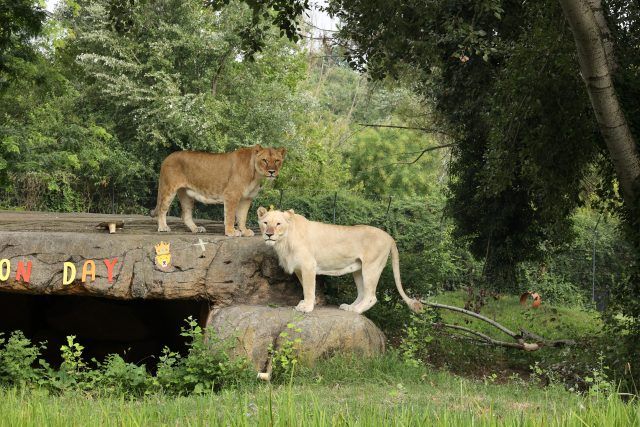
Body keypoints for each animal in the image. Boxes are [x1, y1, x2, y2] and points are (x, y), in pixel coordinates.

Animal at [151, 145, 285, 236]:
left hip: (186, 194)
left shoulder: (246, 199)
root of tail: (167, 157)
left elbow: (242, 217)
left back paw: (196, 229)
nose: (272, 172)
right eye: (265, 160)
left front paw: (244, 231)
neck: (256, 175)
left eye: (277, 160)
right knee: (162, 209)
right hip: (169, 189)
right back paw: (163, 227)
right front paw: (231, 232)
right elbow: (230, 216)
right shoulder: (231, 195)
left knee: (185, 215)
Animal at [257, 206, 423, 314]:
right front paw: (306, 303)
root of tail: (390, 237)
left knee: (371, 296)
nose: (269, 234)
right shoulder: (299, 268)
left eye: (278, 224)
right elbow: (305, 287)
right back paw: (349, 307)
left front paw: (307, 307)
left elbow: (309, 288)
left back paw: (357, 310)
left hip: (371, 267)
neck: (284, 241)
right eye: (265, 223)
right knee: (362, 292)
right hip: (358, 270)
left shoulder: (308, 266)